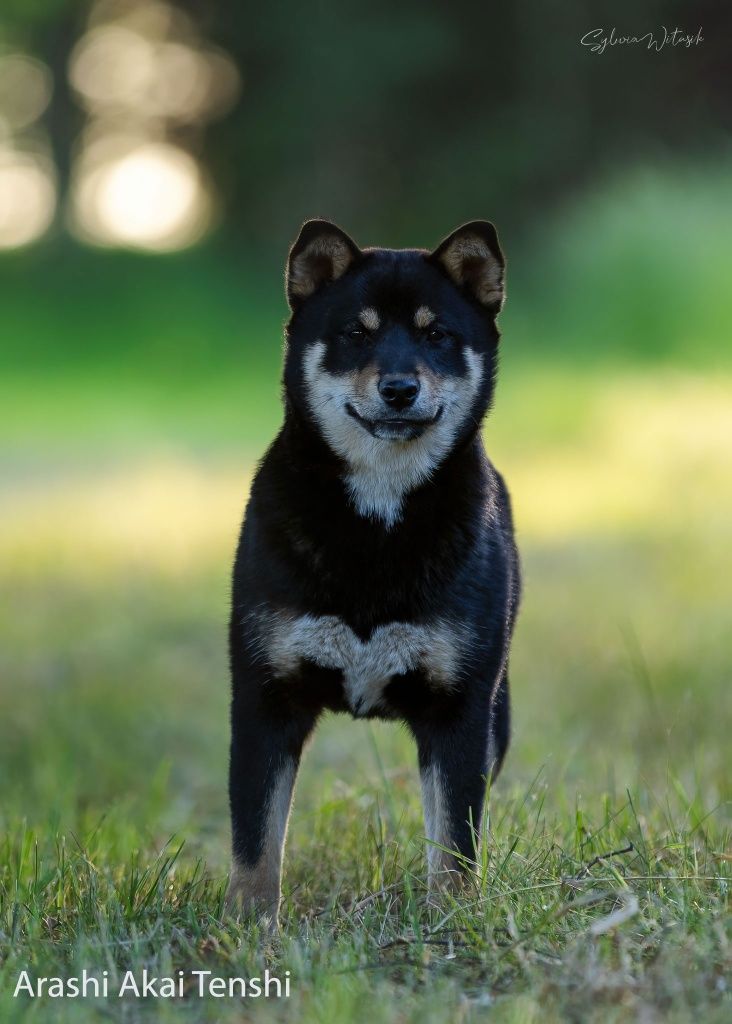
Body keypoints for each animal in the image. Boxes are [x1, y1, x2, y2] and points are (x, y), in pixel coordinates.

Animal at [229, 222, 522, 929]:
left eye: (436, 333)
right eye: (355, 333)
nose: (398, 388)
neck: (378, 517)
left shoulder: (461, 712)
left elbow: (455, 842)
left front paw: (452, 922)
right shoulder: (264, 699)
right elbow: (256, 842)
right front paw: (245, 931)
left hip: (498, 718)